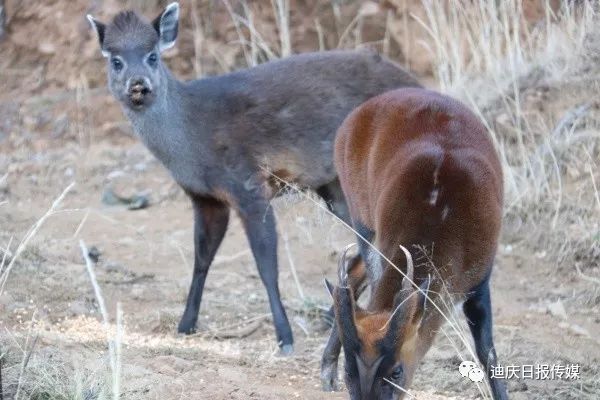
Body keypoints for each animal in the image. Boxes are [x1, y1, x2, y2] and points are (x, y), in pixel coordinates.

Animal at [88, 2, 422, 354]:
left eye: (152, 55)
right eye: (116, 60)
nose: (138, 84)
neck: (193, 138)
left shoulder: (249, 186)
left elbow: (266, 264)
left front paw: (285, 336)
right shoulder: (206, 198)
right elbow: (201, 259)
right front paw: (186, 324)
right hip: (335, 187)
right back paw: (338, 316)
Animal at [322, 88, 508, 400]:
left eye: (397, 371)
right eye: (349, 371)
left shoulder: (480, 278)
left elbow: (487, 352)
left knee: (354, 269)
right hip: (361, 213)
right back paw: (325, 369)